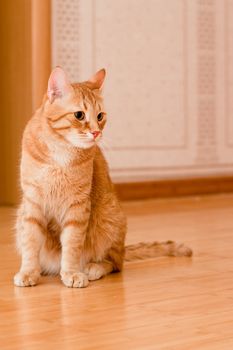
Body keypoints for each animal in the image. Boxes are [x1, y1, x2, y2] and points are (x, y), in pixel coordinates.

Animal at [15, 67, 193, 288]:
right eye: (79, 115)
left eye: (100, 116)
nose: (96, 132)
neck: (61, 151)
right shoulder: (32, 204)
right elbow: (30, 243)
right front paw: (29, 272)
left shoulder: (77, 207)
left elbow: (72, 246)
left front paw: (72, 272)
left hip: (109, 218)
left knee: (115, 263)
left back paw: (92, 268)